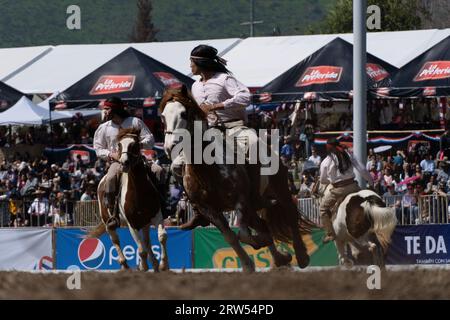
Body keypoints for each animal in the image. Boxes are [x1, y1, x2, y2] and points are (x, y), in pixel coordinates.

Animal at [161, 86, 312, 272]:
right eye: (163, 117)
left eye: (183, 113)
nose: (170, 146)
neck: (207, 170)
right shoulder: (209, 210)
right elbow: (231, 237)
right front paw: (247, 265)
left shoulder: (240, 200)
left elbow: (244, 233)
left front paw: (260, 243)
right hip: (255, 205)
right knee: (262, 222)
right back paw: (279, 258)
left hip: (280, 189)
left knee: (289, 214)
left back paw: (301, 256)